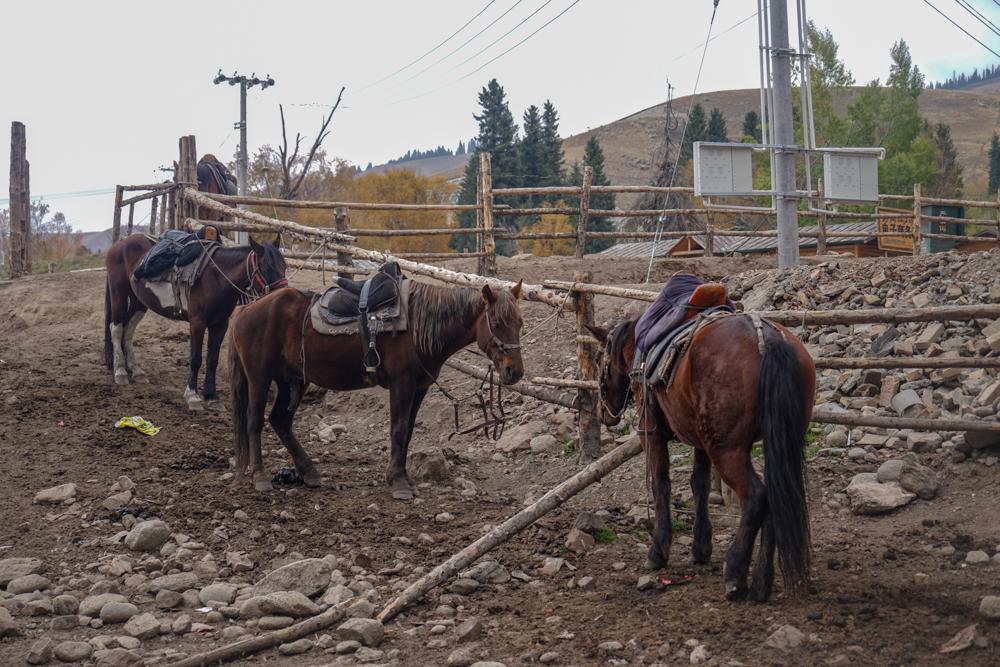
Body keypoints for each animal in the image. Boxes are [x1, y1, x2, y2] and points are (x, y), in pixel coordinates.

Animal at [103, 237, 288, 410]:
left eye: (284, 266)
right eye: (267, 267)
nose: (282, 295)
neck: (217, 278)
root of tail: (120, 244)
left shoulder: (220, 325)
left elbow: (212, 360)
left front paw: (212, 397)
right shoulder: (197, 323)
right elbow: (196, 359)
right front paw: (192, 396)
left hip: (139, 302)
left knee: (128, 330)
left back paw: (135, 370)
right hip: (119, 294)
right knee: (116, 329)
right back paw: (120, 371)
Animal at [227, 280, 524, 498]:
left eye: (519, 323)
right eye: (497, 323)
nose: (515, 371)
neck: (417, 327)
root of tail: (245, 310)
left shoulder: (419, 387)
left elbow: (408, 432)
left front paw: (403, 477)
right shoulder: (401, 384)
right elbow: (398, 430)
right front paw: (398, 483)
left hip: (293, 380)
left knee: (280, 420)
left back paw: (308, 471)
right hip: (259, 378)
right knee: (254, 422)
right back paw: (260, 476)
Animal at [588, 310, 816, 604]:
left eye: (598, 360)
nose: (603, 412)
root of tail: (768, 341)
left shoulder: (651, 433)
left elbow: (661, 484)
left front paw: (658, 552)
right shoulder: (700, 441)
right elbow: (700, 485)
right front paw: (700, 548)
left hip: (727, 449)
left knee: (756, 497)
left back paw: (735, 575)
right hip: (772, 442)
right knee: (776, 495)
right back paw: (761, 584)